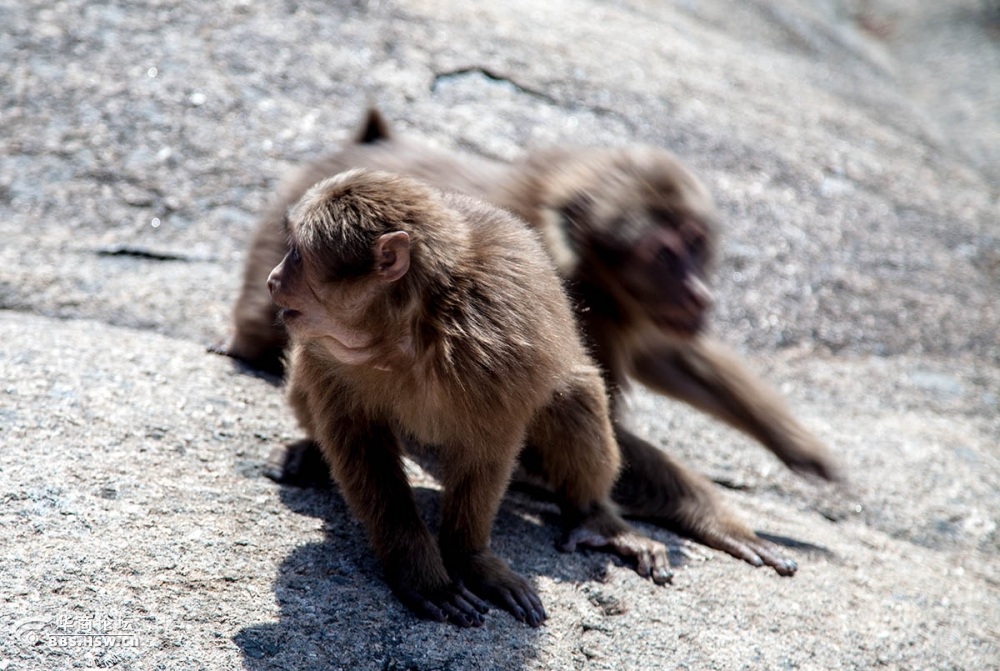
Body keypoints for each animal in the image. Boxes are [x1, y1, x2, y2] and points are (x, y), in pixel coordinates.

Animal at [221, 109, 836, 576]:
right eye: (662, 253)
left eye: (695, 242)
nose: (698, 292)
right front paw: (717, 515)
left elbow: (658, 357)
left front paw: (797, 446)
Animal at [270, 169, 668, 632]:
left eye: (297, 255)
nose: (274, 279)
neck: (404, 332)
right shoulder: (326, 354)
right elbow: (361, 448)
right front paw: (422, 574)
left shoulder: (495, 345)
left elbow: (487, 449)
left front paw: (469, 559)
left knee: (574, 396)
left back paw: (593, 517)